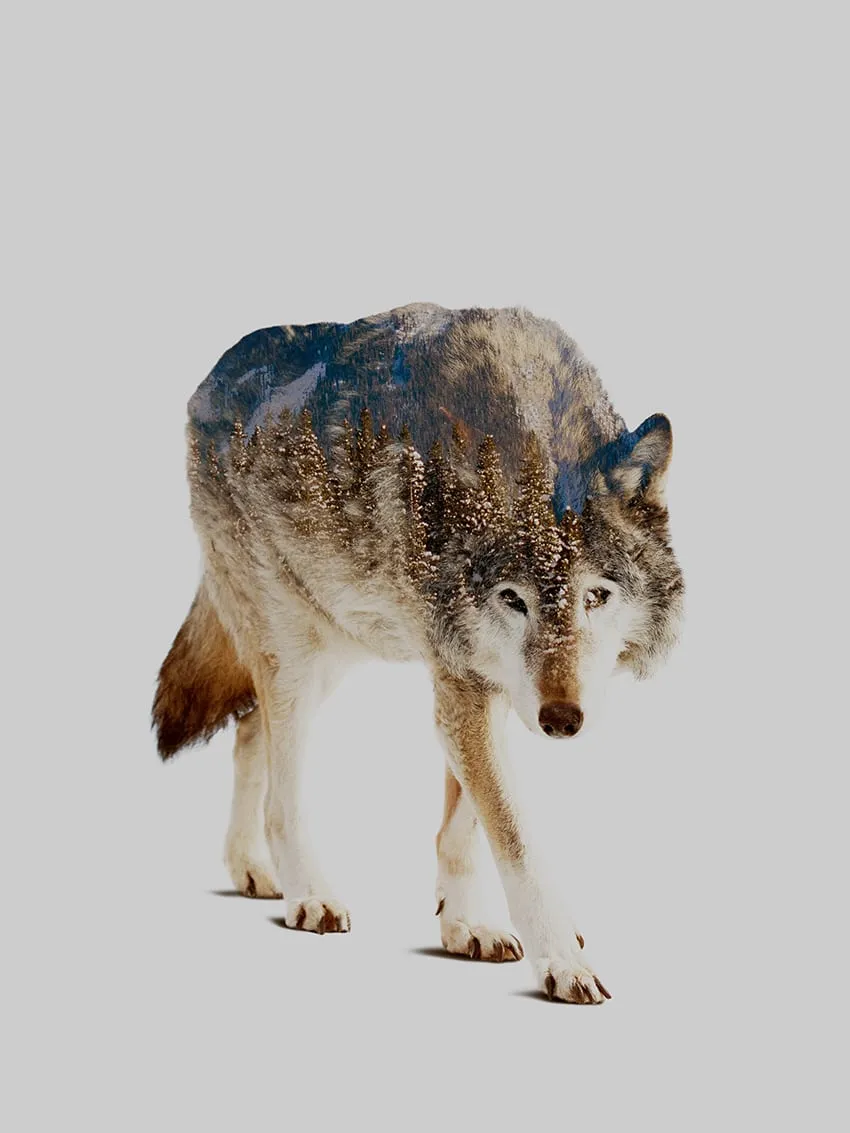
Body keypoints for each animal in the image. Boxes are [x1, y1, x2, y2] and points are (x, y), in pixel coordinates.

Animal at [153, 302, 684, 1004]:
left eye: (597, 595)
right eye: (513, 600)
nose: (561, 720)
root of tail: (207, 379)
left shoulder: (481, 686)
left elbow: (465, 824)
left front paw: (464, 925)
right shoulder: (464, 684)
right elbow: (513, 835)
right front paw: (562, 959)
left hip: (334, 648)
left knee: (246, 732)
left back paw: (252, 870)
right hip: (293, 654)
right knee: (281, 792)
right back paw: (308, 894)